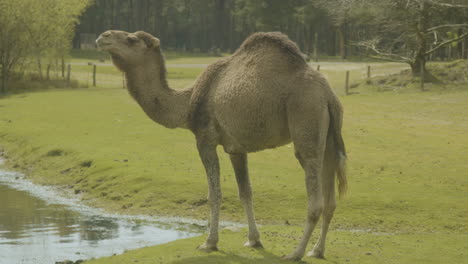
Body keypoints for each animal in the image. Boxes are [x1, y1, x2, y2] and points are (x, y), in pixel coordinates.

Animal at [97, 30, 346, 260]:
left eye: (131, 39)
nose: (103, 36)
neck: (187, 104)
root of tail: (328, 95)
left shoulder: (205, 138)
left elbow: (214, 193)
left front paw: (209, 242)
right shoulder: (236, 148)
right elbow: (245, 192)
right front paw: (253, 240)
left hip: (306, 122)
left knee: (315, 199)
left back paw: (296, 252)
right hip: (329, 140)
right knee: (331, 198)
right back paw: (317, 250)